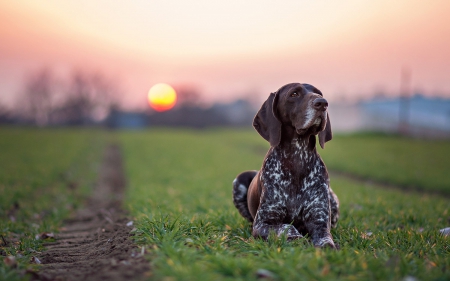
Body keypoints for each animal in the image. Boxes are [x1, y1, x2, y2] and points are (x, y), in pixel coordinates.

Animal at [234, 82, 340, 248]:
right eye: (294, 94)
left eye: (319, 93)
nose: (322, 103)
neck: (297, 157)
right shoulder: (262, 223)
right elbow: (286, 226)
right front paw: (296, 237)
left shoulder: (320, 221)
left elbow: (326, 239)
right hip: (240, 179)